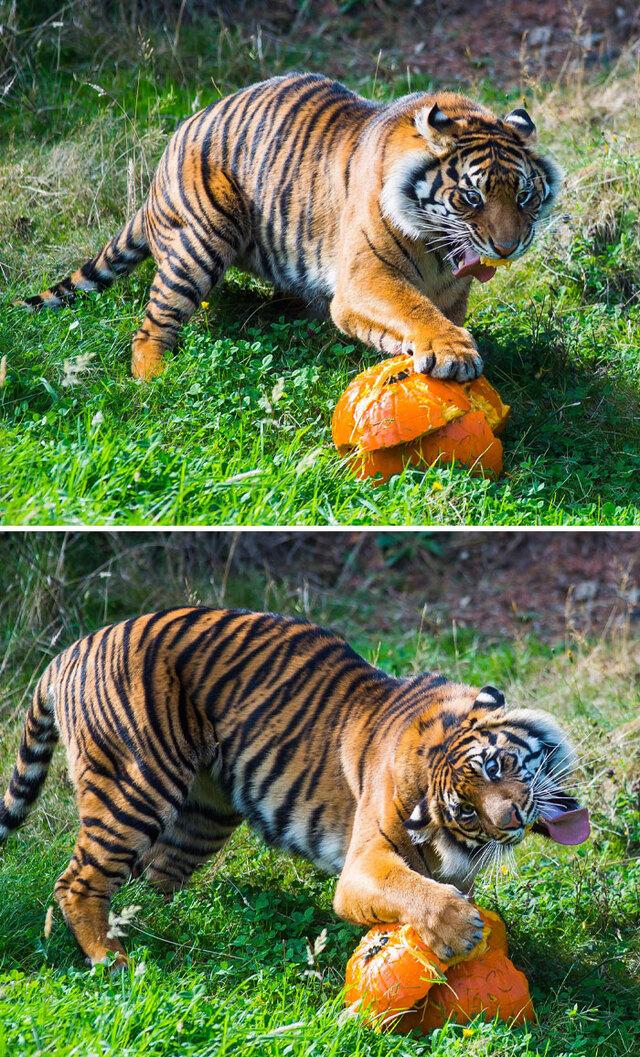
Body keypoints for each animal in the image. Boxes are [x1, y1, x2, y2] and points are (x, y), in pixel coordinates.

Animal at [0, 606, 588, 968]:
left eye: (495, 767)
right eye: (465, 811)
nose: (512, 818)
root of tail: (68, 654)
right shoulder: (361, 867)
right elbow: (410, 889)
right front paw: (458, 929)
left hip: (205, 813)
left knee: (155, 877)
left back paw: (163, 929)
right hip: (134, 785)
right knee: (77, 881)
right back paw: (114, 962)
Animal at [23, 72, 561, 383]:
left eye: (525, 196)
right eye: (471, 197)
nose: (507, 248)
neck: (437, 249)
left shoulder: (449, 292)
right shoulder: (364, 276)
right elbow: (414, 308)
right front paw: (451, 351)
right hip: (202, 239)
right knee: (152, 326)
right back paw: (155, 381)